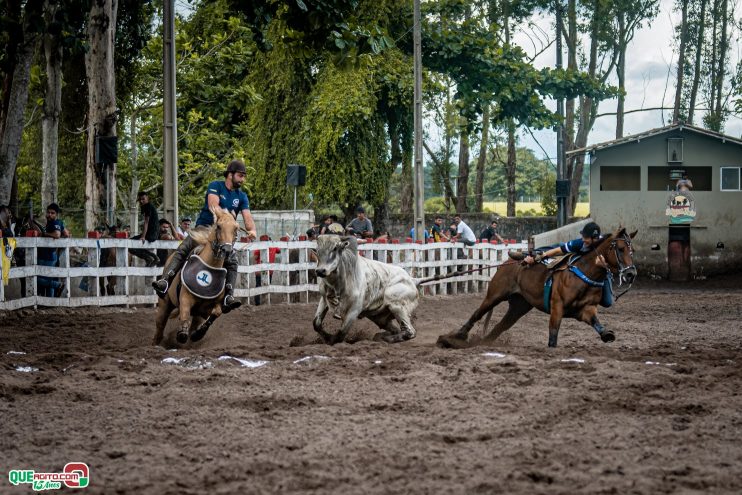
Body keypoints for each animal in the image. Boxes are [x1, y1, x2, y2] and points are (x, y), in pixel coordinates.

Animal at [153, 207, 240, 346]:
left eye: (236, 228)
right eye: (218, 226)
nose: (227, 250)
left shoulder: (207, 309)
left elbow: (216, 312)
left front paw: (198, 333)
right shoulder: (185, 298)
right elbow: (184, 313)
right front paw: (182, 333)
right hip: (164, 304)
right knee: (160, 327)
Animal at [442, 228, 640, 348]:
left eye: (632, 250)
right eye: (620, 248)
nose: (631, 273)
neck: (584, 272)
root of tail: (507, 262)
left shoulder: (586, 309)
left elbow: (596, 322)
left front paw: (607, 334)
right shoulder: (557, 307)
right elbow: (553, 333)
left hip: (520, 306)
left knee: (500, 326)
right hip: (495, 295)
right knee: (478, 313)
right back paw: (455, 337)